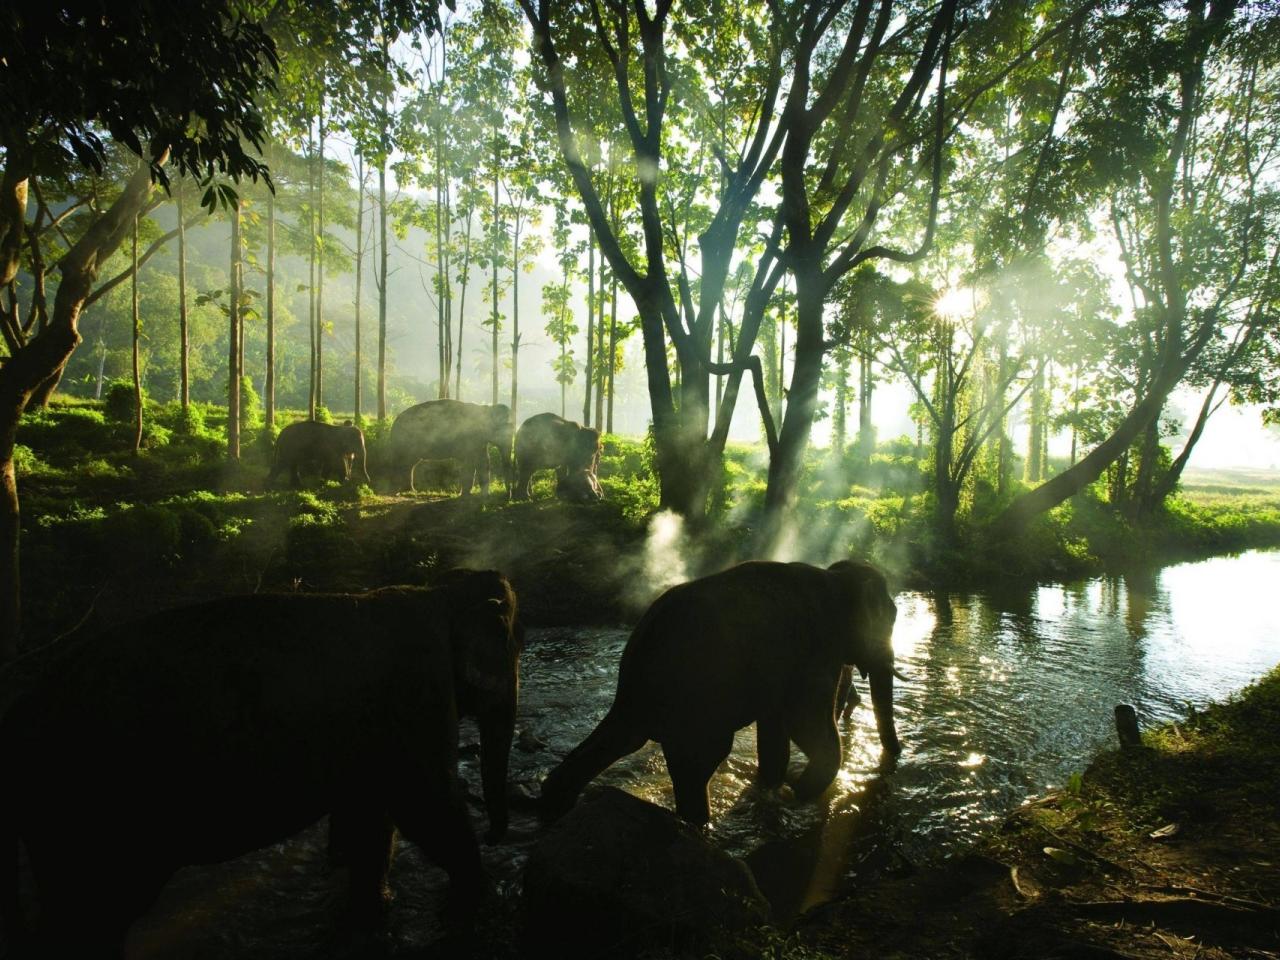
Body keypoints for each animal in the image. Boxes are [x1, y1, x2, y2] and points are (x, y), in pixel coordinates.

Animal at [1, 570, 519, 957]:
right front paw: (479, 899)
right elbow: (425, 806)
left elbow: (372, 817)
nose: (496, 836)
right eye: (512, 654)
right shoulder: (416, 691)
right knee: (90, 918)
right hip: (89, 816)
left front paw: (371, 911)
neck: (436, 592)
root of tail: (18, 714)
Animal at [537, 563, 901, 829]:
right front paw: (797, 794)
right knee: (699, 761)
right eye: (891, 619)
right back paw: (698, 825)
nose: (896, 755)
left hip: (644, 699)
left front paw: (776, 790)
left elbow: (776, 732)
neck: (835, 577)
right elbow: (807, 726)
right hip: (697, 699)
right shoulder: (817, 651)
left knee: (622, 740)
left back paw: (553, 807)